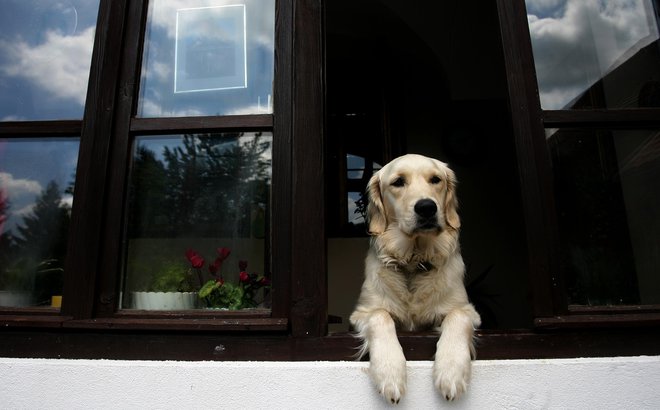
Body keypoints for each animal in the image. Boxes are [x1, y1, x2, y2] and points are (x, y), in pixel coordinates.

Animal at [350, 153, 480, 404]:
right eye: (398, 182)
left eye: (436, 179)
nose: (427, 207)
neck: (414, 261)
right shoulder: (362, 312)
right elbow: (381, 316)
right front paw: (389, 373)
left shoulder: (467, 310)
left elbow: (457, 316)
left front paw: (451, 372)